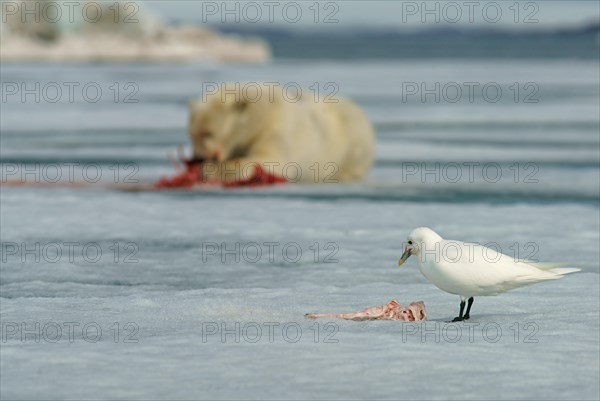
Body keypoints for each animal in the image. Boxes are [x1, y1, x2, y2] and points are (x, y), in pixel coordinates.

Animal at [189, 83, 376, 183]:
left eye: (208, 133)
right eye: (192, 134)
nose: (198, 158)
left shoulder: (275, 129)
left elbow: (272, 160)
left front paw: (212, 170)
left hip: (353, 143)